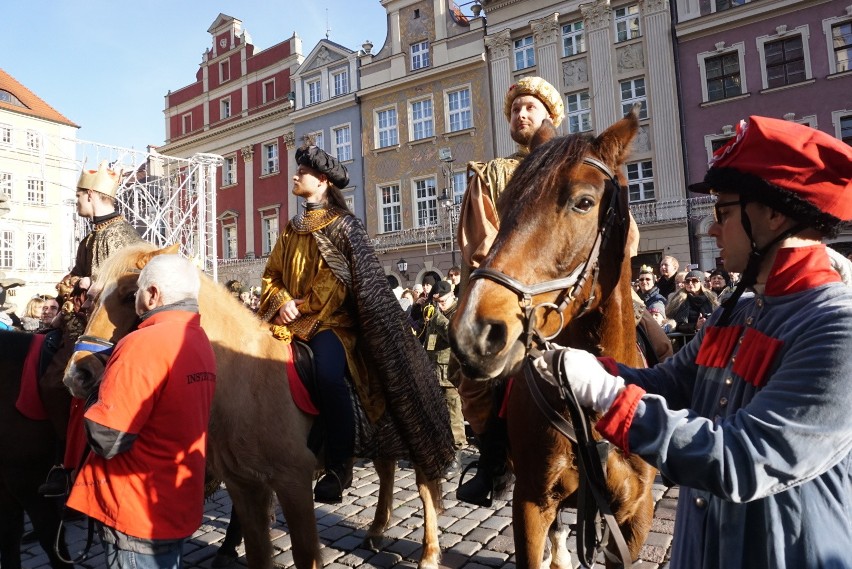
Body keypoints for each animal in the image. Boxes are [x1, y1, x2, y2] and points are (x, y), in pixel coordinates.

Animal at [60, 243, 446, 568]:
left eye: (130, 295)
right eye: (92, 298)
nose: (77, 374)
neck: (246, 378)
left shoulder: (293, 482)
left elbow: (305, 555)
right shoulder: (243, 486)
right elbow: (259, 553)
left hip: (415, 430)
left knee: (425, 486)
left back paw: (428, 554)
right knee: (387, 469)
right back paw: (378, 529)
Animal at [450, 108, 656, 564]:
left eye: (584, 202)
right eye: (505, 206)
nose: (475, 330)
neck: (591, 402)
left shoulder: (636, 514)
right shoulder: (530, 504)